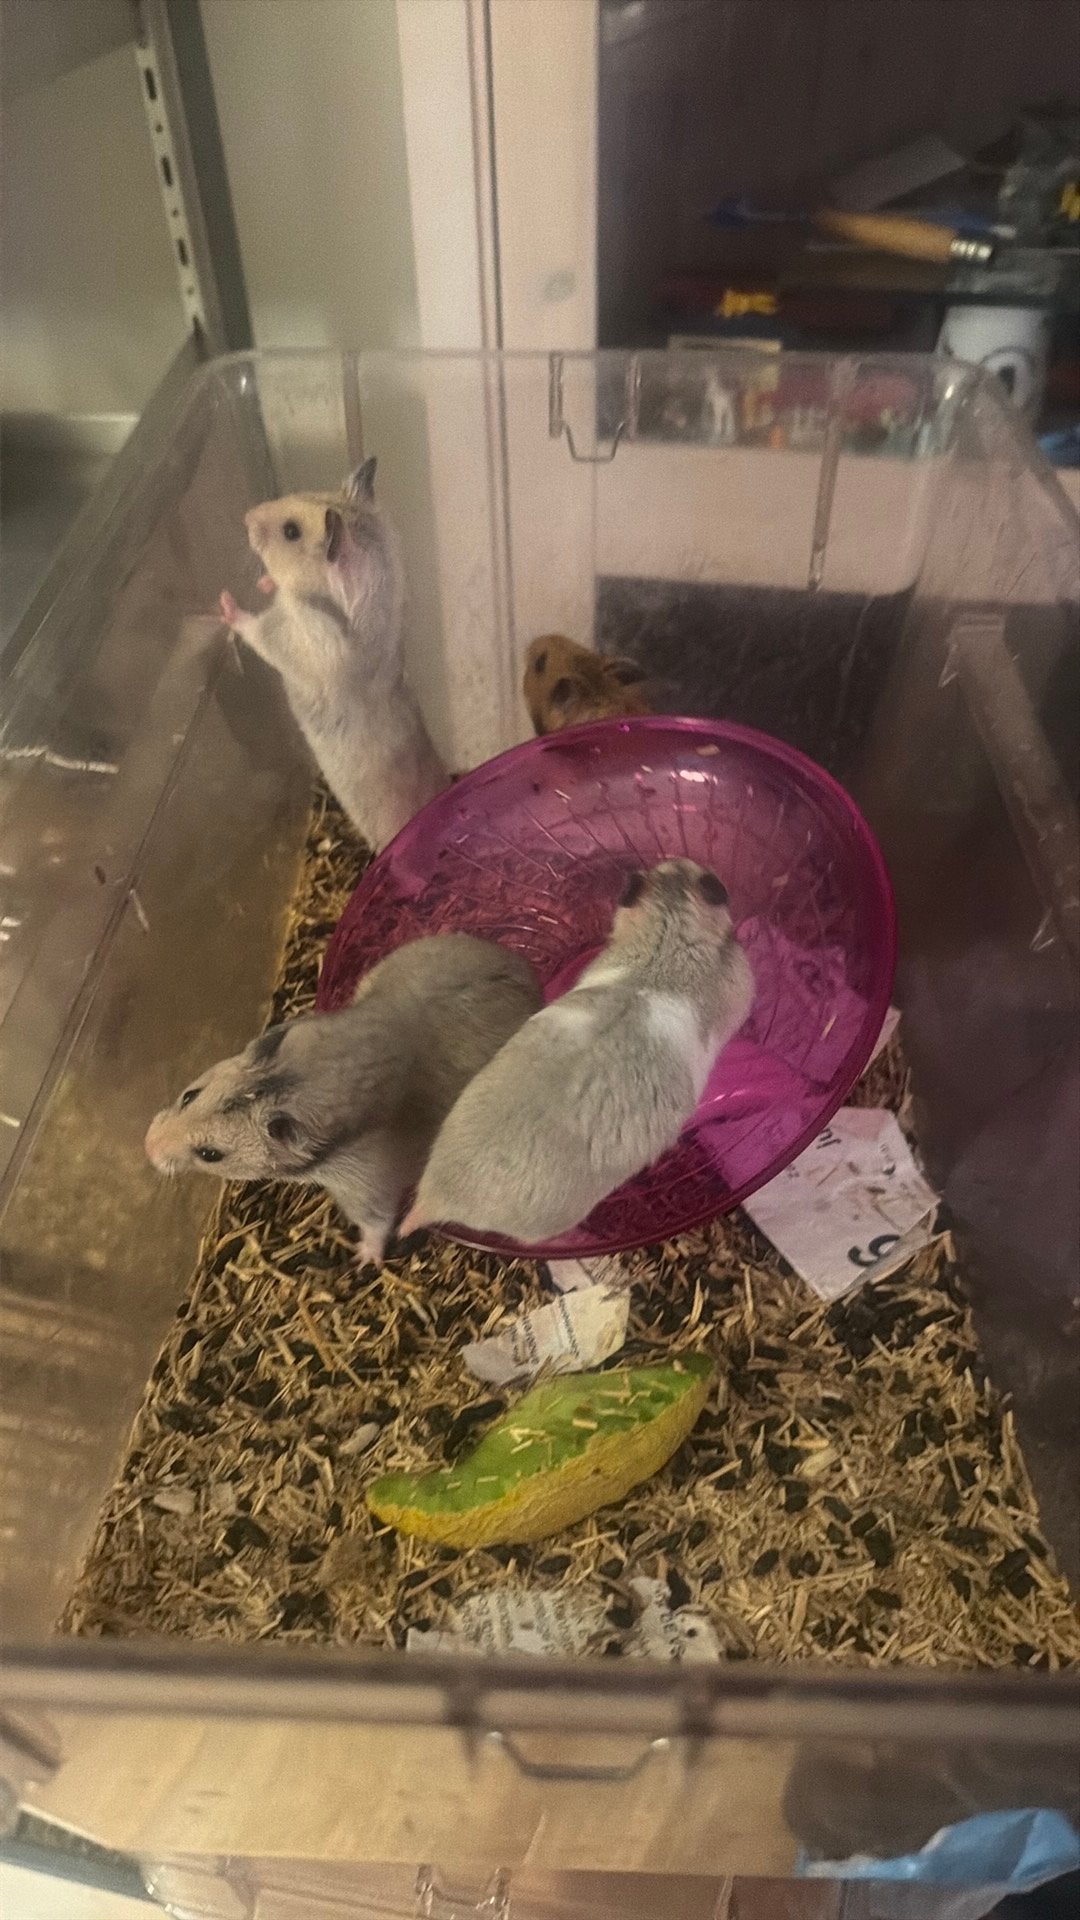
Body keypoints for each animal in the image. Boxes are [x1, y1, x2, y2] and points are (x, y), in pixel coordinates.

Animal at [145, 934, 542, 1267]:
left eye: (210, 1154)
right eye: (189, 1095)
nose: (147, 1149)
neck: (301, 1079)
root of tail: (530, 981)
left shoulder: (366, 1187)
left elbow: (376, 1223)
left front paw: (363, 1259)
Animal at [219, 458, 448, 851]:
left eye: (291, 532)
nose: (246, 515)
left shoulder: (294, 637)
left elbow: (257, 630)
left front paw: (224, 603)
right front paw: (265, 583)